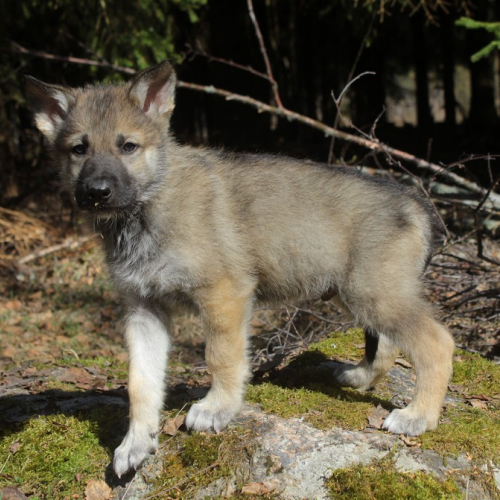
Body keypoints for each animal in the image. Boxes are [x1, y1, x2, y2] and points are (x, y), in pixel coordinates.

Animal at [25, 61, 456, 476]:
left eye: (128, 146)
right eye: (78, 149)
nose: (97, 192)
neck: (148, 207)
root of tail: (415, 202)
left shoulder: (223, 294)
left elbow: (220, 356)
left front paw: (218, 408)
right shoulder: (144, 310)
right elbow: (140, 383)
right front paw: (135, 443)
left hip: (373, 294)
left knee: (437, 343)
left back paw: (419, 417)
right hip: (357, 294)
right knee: (389, 345)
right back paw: (362, 379)